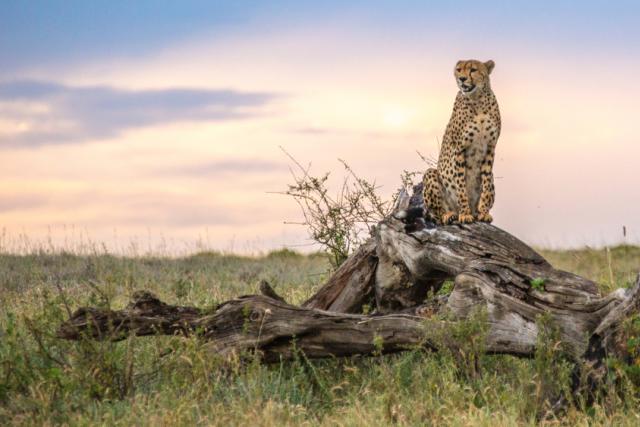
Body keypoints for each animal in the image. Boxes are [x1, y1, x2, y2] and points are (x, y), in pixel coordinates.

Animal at [423, 59, 501, 225]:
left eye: (473, 70)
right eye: (458, 70)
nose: (462, 79)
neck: (477, 100)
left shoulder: (490, 148)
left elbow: (485, 185)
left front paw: (484, 212)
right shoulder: (459, 149)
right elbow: (460, 186)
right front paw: (465, 214)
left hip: (493, 178)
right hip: (430, 173)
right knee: (437, 214)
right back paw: (450, 214)